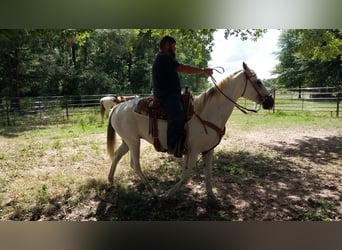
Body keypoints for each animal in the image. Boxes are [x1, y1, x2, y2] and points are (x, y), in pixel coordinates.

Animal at [105, 63, 274, 199]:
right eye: (258, 82)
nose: (270, 101)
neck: (208, 112)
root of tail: (117, 108)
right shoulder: (193, 151)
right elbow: (186, 176)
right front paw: (168, 194)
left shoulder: (208, 150)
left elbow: (208, 174)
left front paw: (211, 197)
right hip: (133, 141)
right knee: (135, 165)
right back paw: (152, 191)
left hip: (127, 141)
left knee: (117, 156)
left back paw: (111, 181)